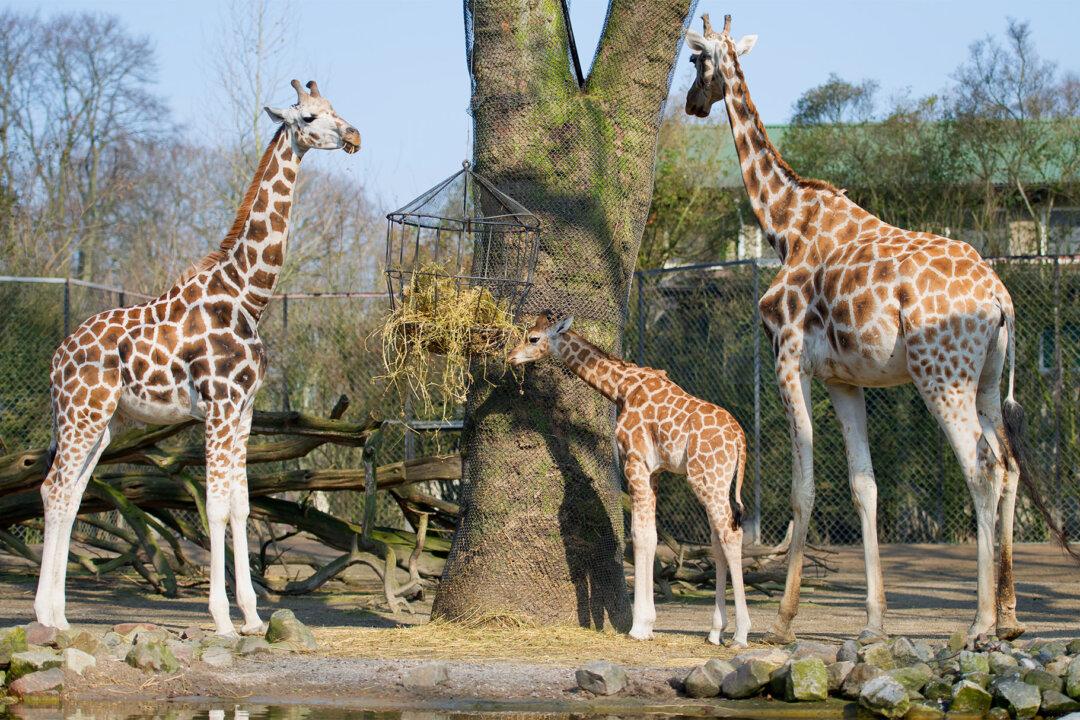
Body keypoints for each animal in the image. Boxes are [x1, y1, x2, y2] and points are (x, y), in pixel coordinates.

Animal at [35, 79, 360, 636]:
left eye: (337, 108)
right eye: (311, 117)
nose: (354, 135)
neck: (248, 296)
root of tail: (57, 359)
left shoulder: (244, 411)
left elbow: (242, 506)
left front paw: (253, 617)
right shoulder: (219, 407)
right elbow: (215, 507)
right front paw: (223, 620)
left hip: (101, 423)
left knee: (71, 496)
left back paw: (60, 617)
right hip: (83, 414)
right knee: (53, 489)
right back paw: (44, 615)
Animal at [508, 313, 751, 646]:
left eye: (532, 338)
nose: (511, 356)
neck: (621, 387)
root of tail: (740, 439)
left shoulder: (635, 461)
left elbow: (639, 535)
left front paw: (639, 626)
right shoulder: (654, 471)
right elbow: (650, 535)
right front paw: (646, 624)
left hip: (706, 478)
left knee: (730, 534)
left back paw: (741, 634)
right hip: (718, 481)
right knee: (717, 538)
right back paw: (715, 631)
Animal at [683, 15, 1078, 644]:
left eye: (696, 61)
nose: (693, 104)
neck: (784, 225)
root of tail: (1001, 297)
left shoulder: (788, 359)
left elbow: (803, 487)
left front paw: (784, 622)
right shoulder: (845, 379)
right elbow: (863, 486)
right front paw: (873, 622)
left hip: (941, 375)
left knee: (981, 465)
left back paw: (980, 621)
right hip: (988, 377)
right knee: (1010, 463)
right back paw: (1012, 617)